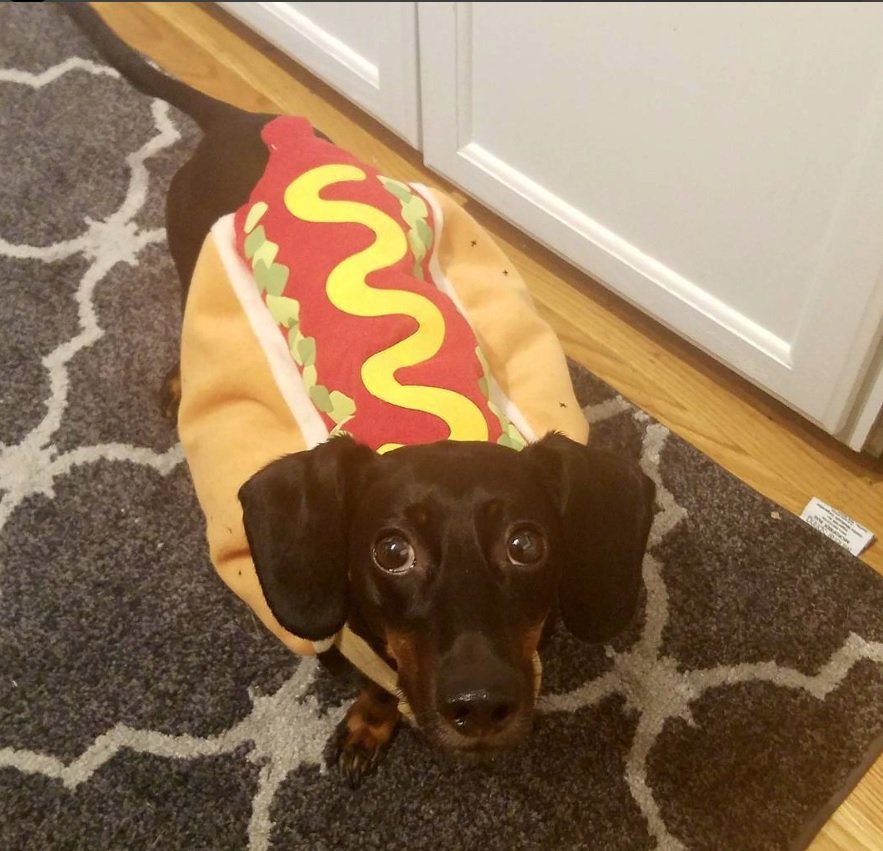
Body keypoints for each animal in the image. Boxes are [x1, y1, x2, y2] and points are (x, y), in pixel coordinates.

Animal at [65, 5, 652, 784]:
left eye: (527, 543)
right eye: (391, 550)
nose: (481, 706)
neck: (435, 418)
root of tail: (253, 125)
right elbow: (374, 678)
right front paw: (371, 721)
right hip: (190, 251)